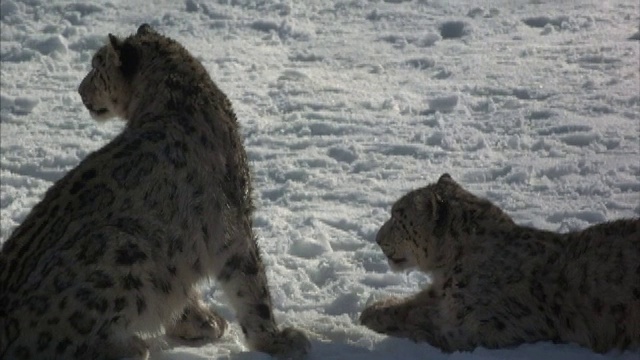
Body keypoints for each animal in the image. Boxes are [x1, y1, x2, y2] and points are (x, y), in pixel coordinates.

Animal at [0, 24, 310, 360]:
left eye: (96, 65)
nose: (80, 91)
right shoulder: (234, 219)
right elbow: (253, 285)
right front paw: (275, 340)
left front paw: (202, 321)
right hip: (125, 248)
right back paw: (131, 346)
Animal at [362, 173, 636, 352]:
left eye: (398, 217)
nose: (376, 238)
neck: (445, 273)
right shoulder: (438, 296)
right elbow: (414, 303)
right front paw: (374, 309)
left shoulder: (493, 327)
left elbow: (441, 331)